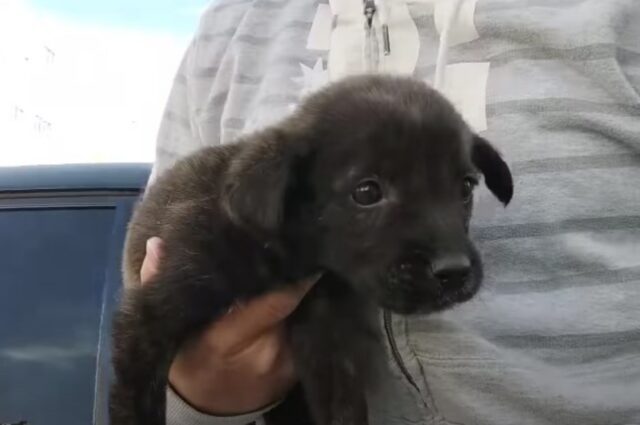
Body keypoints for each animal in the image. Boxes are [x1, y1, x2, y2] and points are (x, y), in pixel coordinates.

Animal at [107, 74, 512, 424]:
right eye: (367, 192)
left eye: (465, 187)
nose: (454, 271)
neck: (293, 256)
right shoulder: (148, 320)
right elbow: (136, 405)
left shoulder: (330, 343)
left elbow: (344, 411)